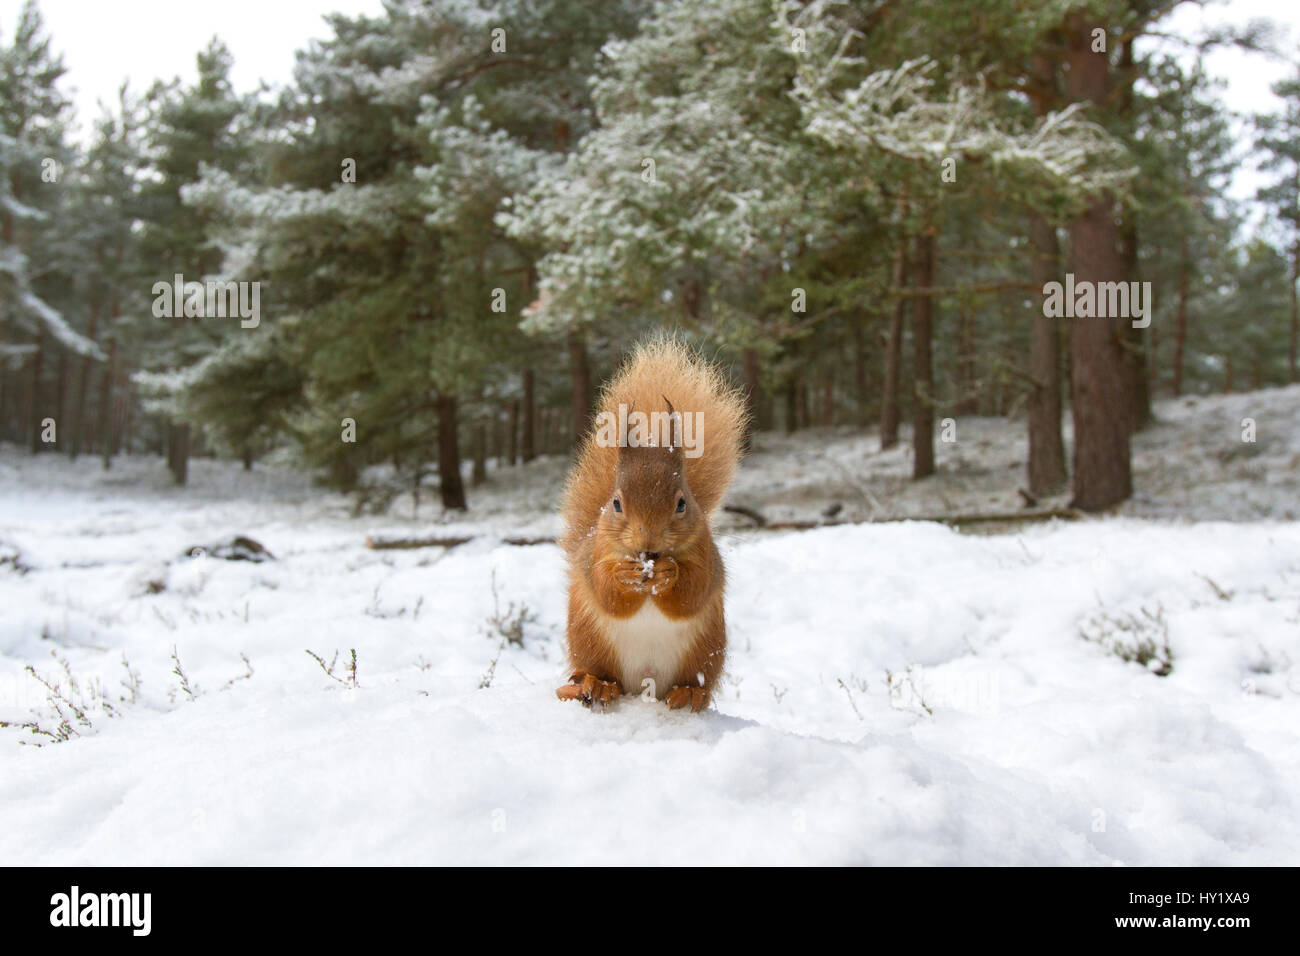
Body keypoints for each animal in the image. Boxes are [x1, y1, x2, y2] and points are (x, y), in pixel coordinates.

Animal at [553, 343, 748, 712]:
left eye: (682, 503)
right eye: (616, 503)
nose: (648, 539)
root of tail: (643, 687)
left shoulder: (705, 554)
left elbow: (692, 591)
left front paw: (669, 572)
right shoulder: (597, 553)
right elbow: (607, 591)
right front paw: (625, 574)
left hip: (705, 649)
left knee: (695, 681)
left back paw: (690, 693)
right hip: (589, 641)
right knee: (598, 673)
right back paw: (595, 685)